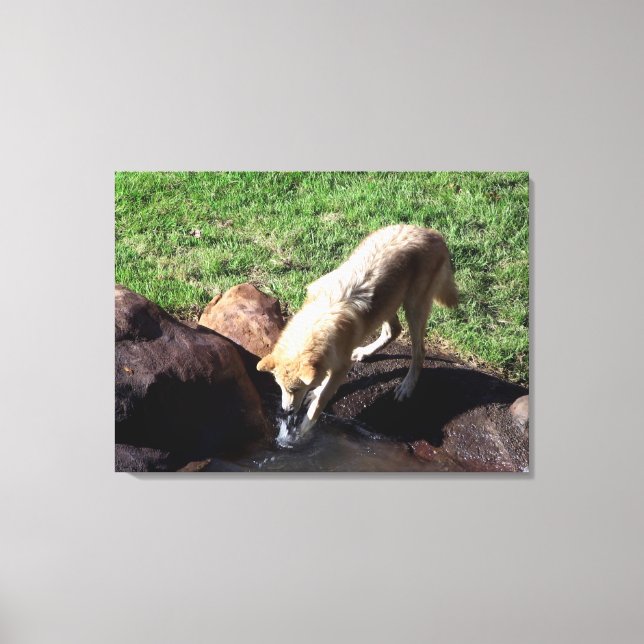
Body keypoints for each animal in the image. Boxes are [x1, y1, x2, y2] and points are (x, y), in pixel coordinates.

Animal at [257, 224, 458, 440]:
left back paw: (407, 386)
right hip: (388, 304)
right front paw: (316, 391)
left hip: (413, 309)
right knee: (393, 331)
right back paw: (364, 352)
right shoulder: (332, 359)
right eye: (280, 387)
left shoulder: (342, 366)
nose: (286, 412)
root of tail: (433, 233)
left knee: (419, 351)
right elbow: (323, 383)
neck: (322, 316)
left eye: (295, 389)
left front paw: (305, 428)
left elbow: (321, 400)